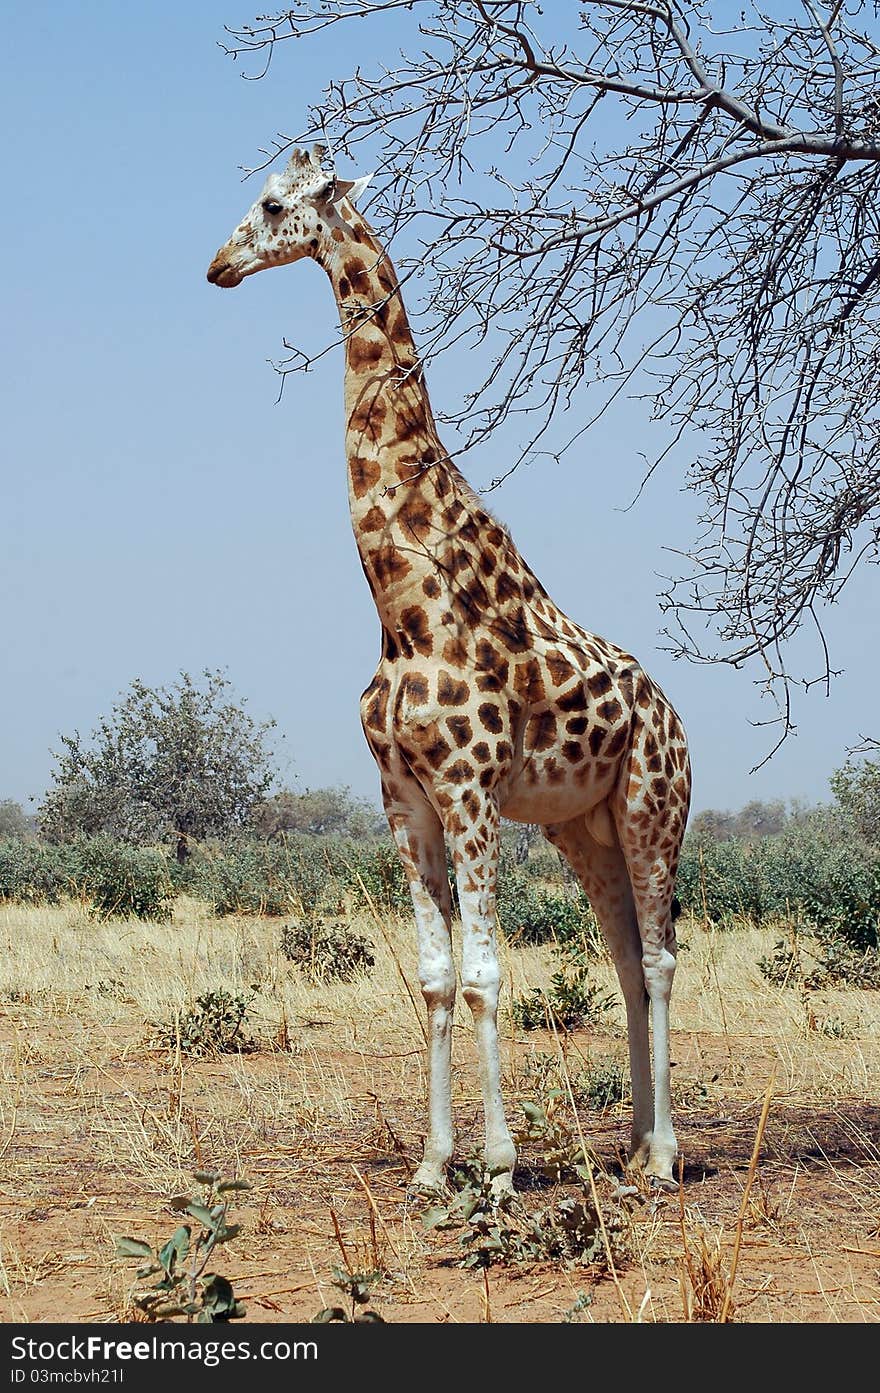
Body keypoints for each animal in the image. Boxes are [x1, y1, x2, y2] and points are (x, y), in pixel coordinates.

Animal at [207, 144, 693, 1197]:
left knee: (663, 956)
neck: (402, 605)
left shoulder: (470, 789)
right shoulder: (404, 794)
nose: (217, 265)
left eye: (271, 203)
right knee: (624, 955)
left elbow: (484, 976)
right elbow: (433, 979)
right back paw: (632, 1146)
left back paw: (667, 1156)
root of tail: (677, 718)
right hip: (581, 826)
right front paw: (435, 1165)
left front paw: (501, 1168)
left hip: (653, 806)